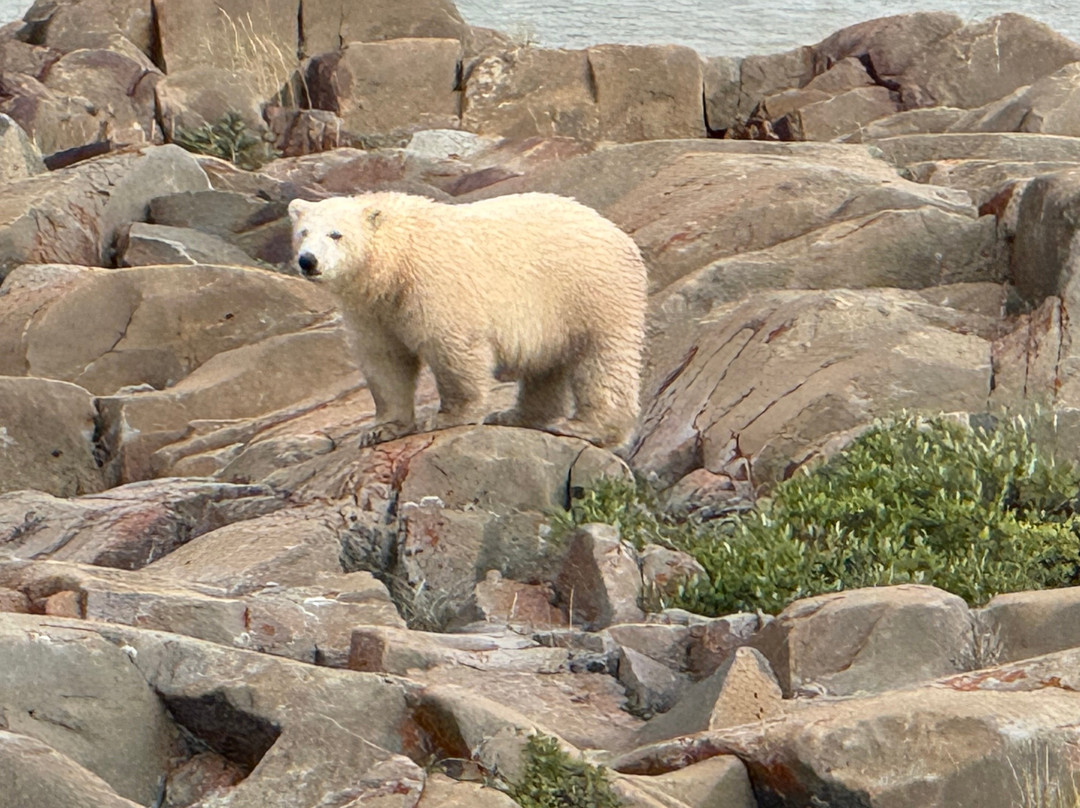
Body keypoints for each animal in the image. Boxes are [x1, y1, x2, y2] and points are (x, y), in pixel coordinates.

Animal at [288, 191, 647, 449]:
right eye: (303, 232)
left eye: (336, 234)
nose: (308, 260)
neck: (396, 262)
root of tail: (621, 234)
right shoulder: (372, 310)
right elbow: (385, 361)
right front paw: (382, 429)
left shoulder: (433, 286)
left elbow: (452, 348)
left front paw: (449, 416)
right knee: (546, 365)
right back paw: (516, 416)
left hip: (590, 292)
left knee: (602, 360)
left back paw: (586, 427)